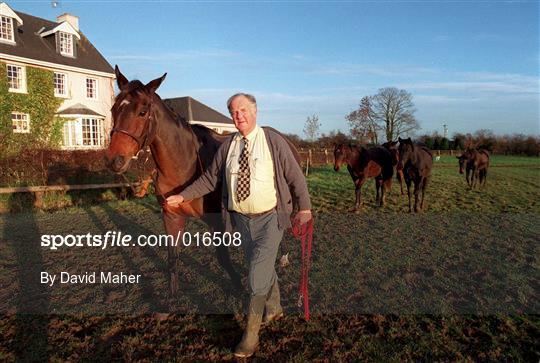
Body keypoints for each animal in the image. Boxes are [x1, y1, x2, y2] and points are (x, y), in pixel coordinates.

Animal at [105, 67, 240, 298]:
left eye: (143, 112)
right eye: (114, 109)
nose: (115, 160)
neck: (186, 165)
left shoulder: (217, 223)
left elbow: (225, 260)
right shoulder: (171, 217)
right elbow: (172, 259)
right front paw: (172, 297)